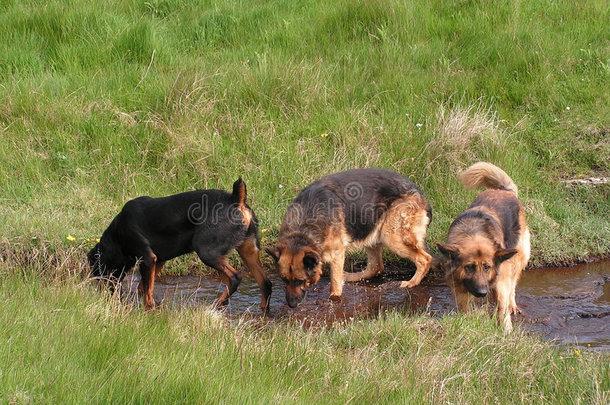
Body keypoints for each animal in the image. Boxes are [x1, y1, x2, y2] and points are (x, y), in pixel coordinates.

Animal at [87, 178, 270, 310]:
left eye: (98, 271)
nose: (104, 294)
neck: (117, 237)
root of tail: (236, 199)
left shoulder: (148, 258)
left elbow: (147, 297)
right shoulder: (158, 260)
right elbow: (143, 288)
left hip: (207, 251)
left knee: (235, 278)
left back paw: (217, 304)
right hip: (248, 250)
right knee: (265, 283)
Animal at [264, 167, 430, 306]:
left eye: (300, 281)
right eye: (284, 279)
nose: (291, 305)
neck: (303, 229)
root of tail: (419, 192)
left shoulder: (337, 252)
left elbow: (335, 282)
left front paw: (334, 299)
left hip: (391, 236)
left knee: (425, 259)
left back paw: (411, 283)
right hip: (371, 231)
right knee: (376, 267)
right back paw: (350, 277)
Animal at [434, 162, 528, 332]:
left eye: (487, 267)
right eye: (469, 267)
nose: (482, 292)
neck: (473, 232)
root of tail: (505, 191)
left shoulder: (500, 280)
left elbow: (502, 307)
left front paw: (506, 330)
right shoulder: (460, 289)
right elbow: (465, 309)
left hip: (517, 258)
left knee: (512, 286)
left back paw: (512, 305)